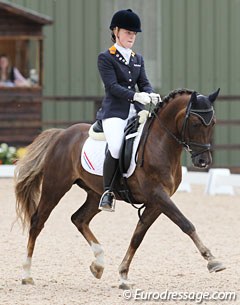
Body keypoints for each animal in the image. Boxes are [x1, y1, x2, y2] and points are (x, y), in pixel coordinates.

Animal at [14, 87, 225, 288]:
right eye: (195, 123)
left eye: (213, 123)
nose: (203, 162)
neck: (161, 144)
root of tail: (62, 134)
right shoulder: (158, 195)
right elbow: (185, 223)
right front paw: (213, 260)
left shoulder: (157, 201)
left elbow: (138, 236)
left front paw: (123, 275)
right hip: (55, 186)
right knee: (37, 221)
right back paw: (27, 274)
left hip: (95, 193)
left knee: (79, 219)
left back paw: (98, 264)